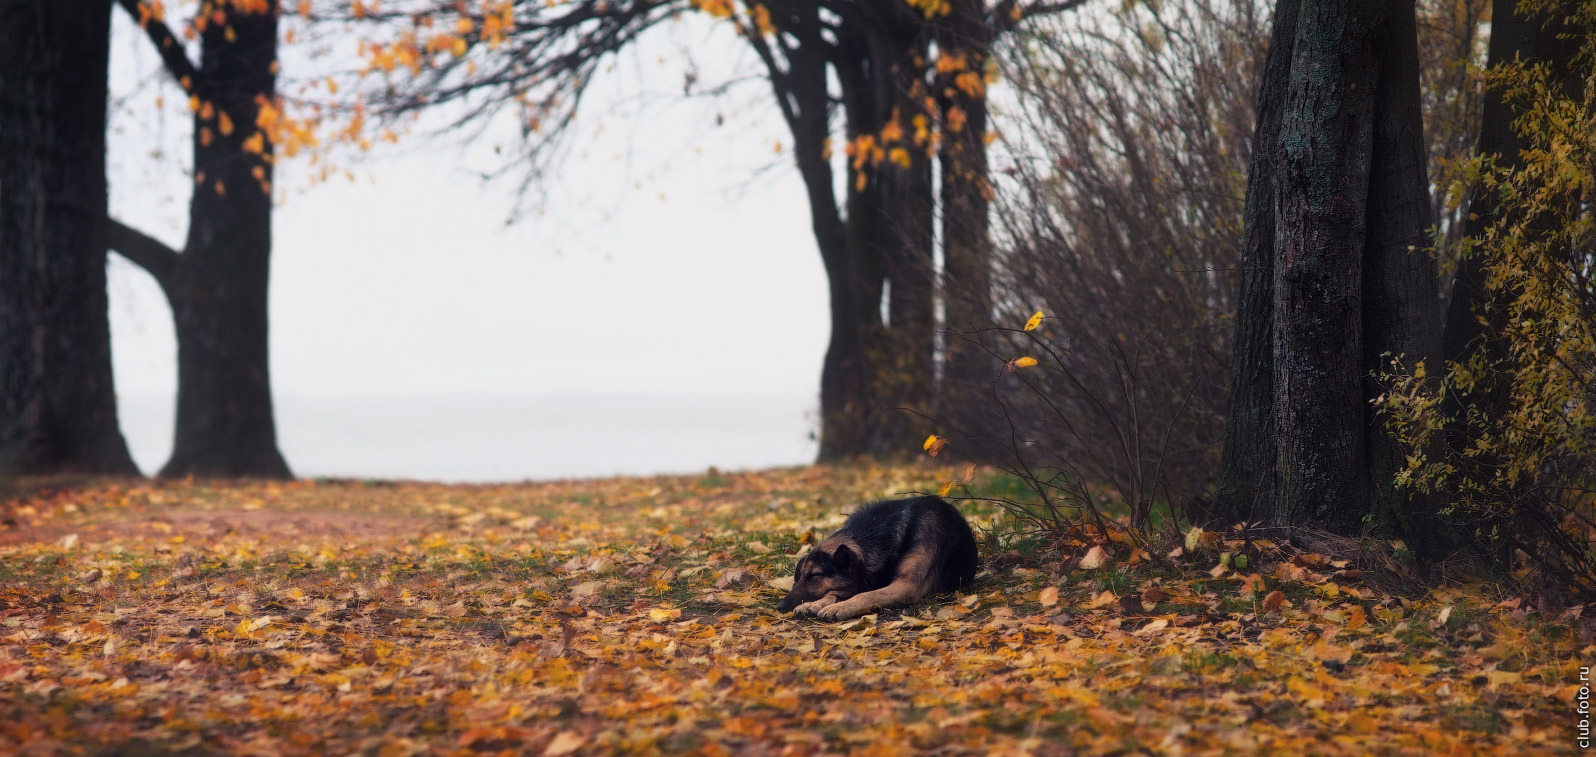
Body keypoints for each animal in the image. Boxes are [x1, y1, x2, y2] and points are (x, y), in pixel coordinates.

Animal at [775, 498, 976, 619]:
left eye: (814, 575)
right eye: (800, 577)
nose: (779, 606)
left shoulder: (905, 586)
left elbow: (865, 595)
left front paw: (840, 607)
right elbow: (834, 593)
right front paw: (816, 604)